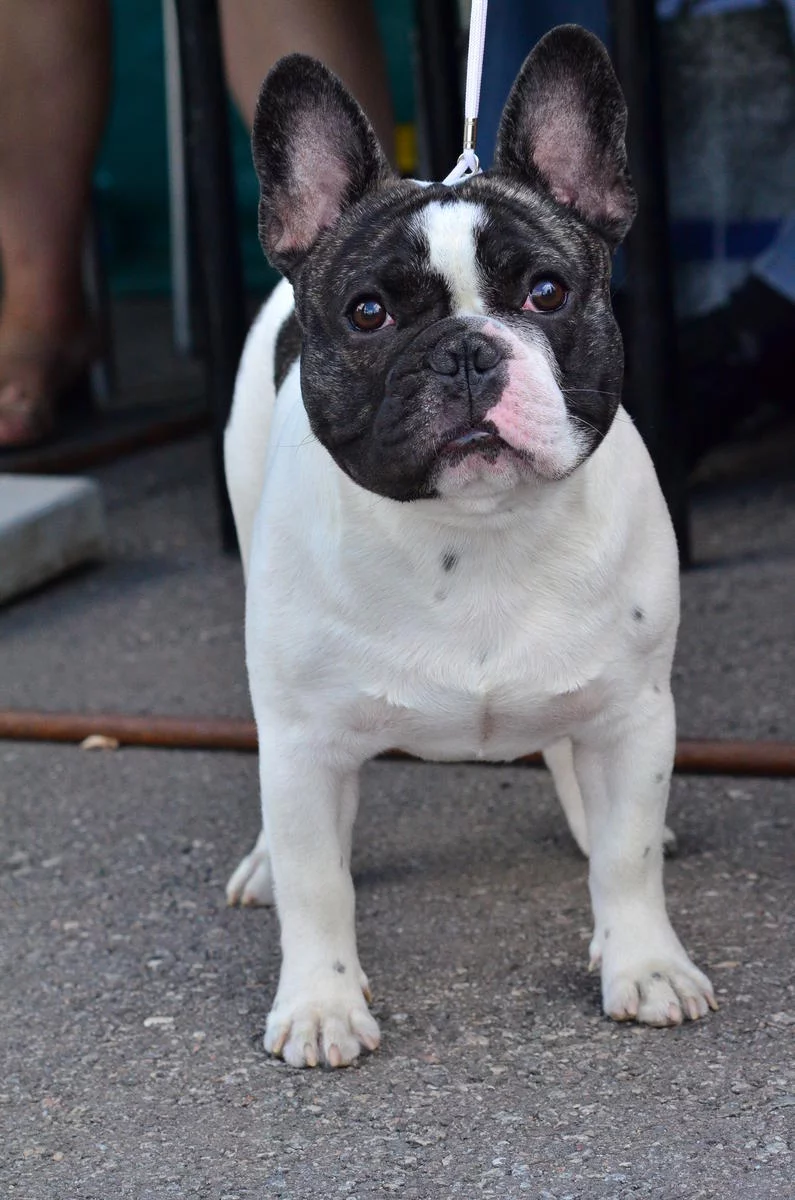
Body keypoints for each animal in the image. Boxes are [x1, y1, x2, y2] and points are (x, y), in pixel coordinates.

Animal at [223, 25, 717, 1069]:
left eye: (546, 292)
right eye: (368, 312)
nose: (464, 349)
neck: (475, 531)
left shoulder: (636, 714)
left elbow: (625, 857)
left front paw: (643, 961)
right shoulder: (303, 743)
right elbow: (319, 884)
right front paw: (322, 1004)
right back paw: (263, 866)